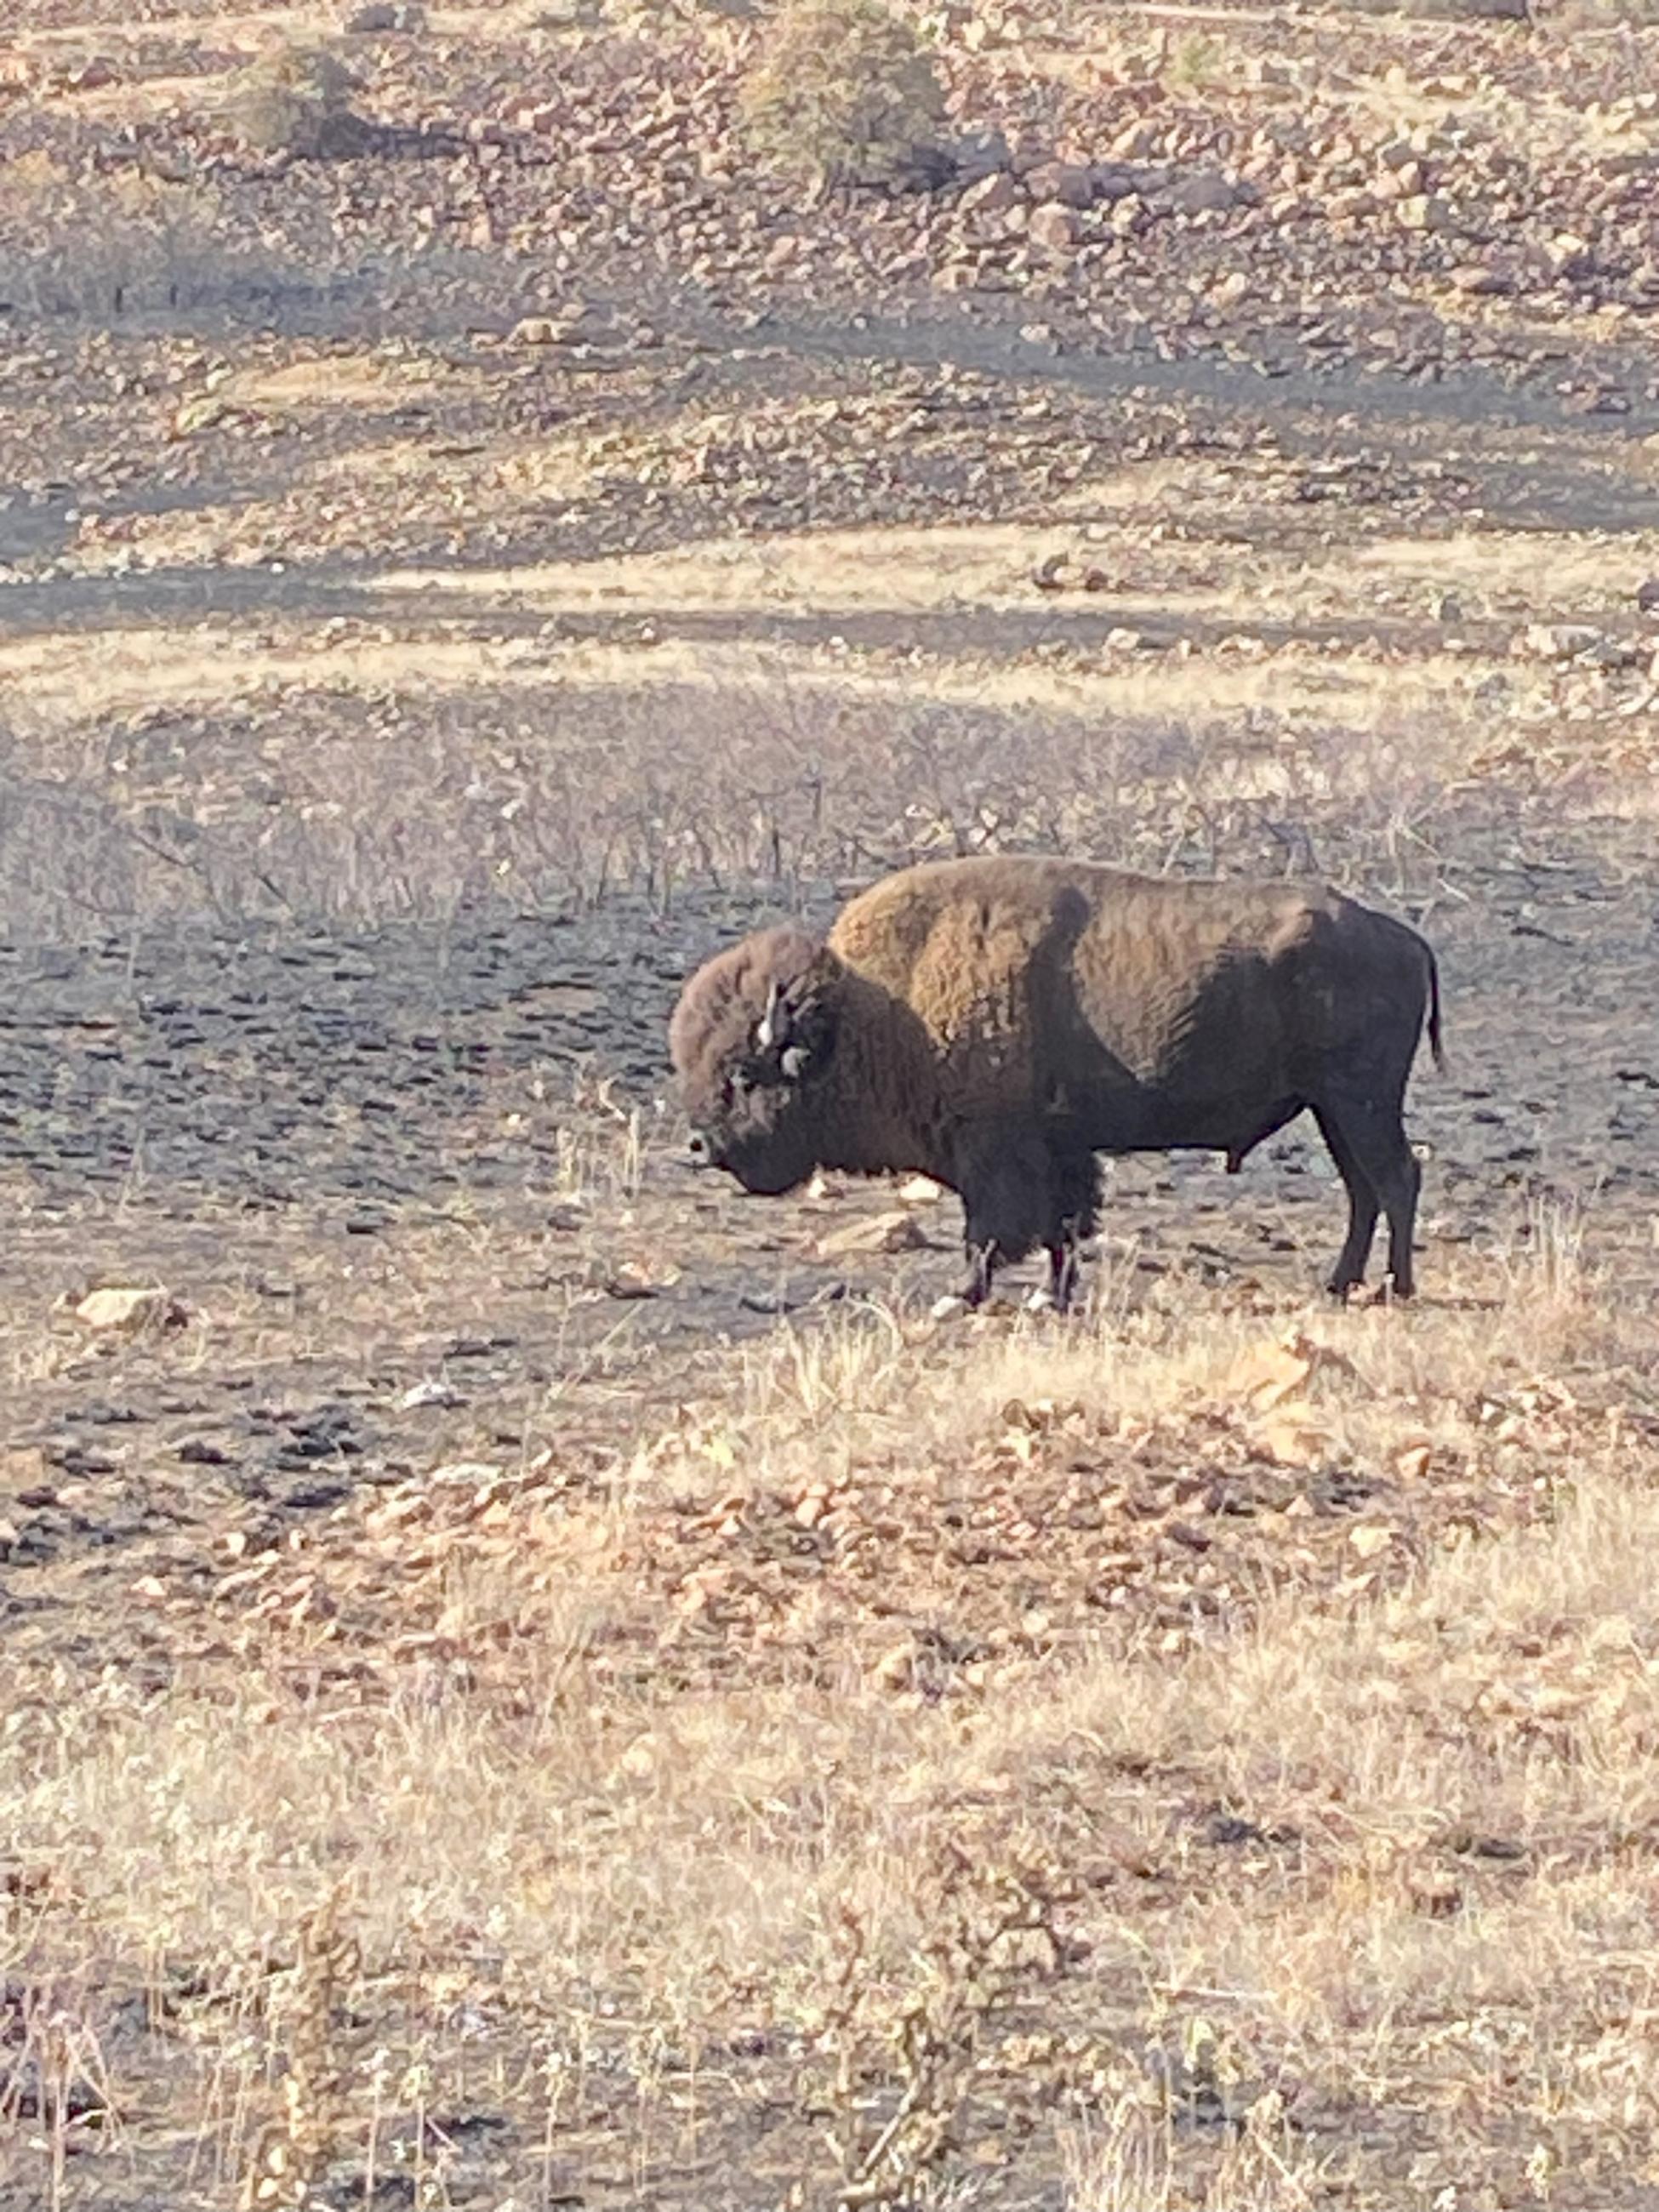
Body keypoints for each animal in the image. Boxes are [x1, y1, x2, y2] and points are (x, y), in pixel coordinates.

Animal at [668, 858, 1451, 1309]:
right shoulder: (1061, 1150)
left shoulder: (996, 1152)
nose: (703, 1146)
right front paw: (1054, 1296)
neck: (876, 1008)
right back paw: (1341, 1284)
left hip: (1358, 1102)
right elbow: (1063, 1228)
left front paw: (966, 1295)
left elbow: (993, 1232)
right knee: (1365, 1189)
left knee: (1395, 1178)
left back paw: (1395, 1287)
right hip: (1333, 1109)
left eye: (743, 1074)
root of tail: (1406, 939)